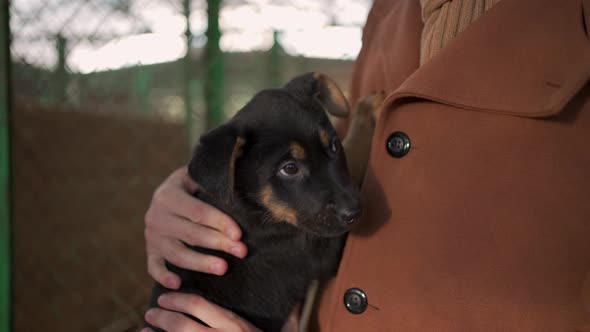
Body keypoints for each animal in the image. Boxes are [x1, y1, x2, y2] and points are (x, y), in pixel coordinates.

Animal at [146, 72, 364, 332]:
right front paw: (372, 105)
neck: (255, 209)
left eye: (333, 145)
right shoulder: (315, 248)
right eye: (289, 168)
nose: (354, 212)